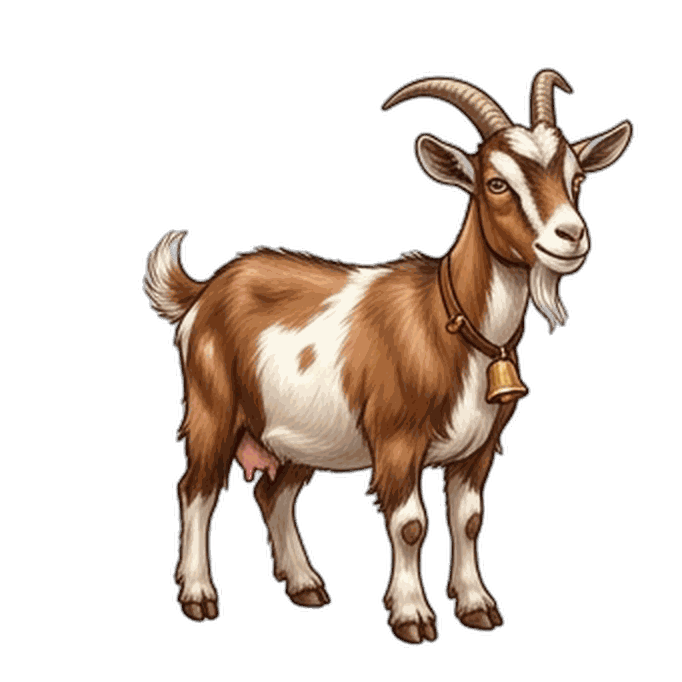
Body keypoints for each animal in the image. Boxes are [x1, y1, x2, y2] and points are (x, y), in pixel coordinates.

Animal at [143, 66, 633, 642]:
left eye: (577, 179)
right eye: (496, 183)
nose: (570, 236)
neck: (450, 321)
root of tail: (204, 291)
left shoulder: (479, 447)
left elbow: (469, 519)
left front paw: (476, 607)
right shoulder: (398, 440)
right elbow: (410, 523)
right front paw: (412, 616)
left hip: (296, 434)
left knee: (274, 494)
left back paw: (306, 586)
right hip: (213, 408)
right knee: (196, 488)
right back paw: (199, 596)